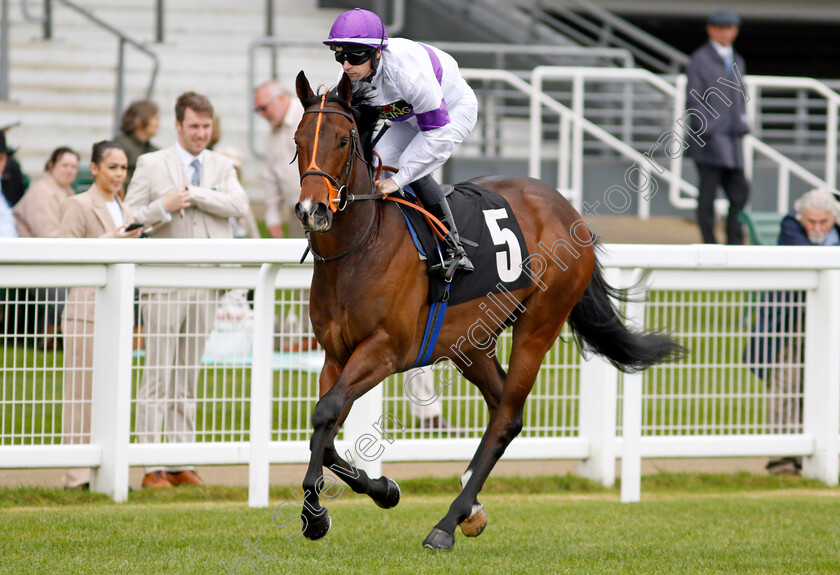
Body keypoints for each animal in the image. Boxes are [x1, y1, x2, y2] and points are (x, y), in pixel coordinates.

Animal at [292, 70, 680, 552]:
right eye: (297, 140)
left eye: (344, 140)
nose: (312, 209)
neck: (361, 246)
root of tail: (567, 209)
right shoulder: (335, 354)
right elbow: (325, 428)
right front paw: (380, 491)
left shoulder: (384, 350)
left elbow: (326, 413)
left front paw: (316, 514)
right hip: (470, 342)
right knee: (500, 407)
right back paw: (470, 508)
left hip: (539, 323)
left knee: (508, 416)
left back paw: (447, 523)